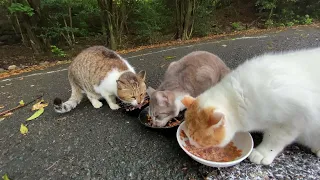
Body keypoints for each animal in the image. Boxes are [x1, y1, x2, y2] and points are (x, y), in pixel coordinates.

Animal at [180, 47, 320, 165]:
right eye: (187, 134)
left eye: (196, 139)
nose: (190, 143)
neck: (238, 99)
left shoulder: (295, 118)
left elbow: (274, 139)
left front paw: (262, 152)